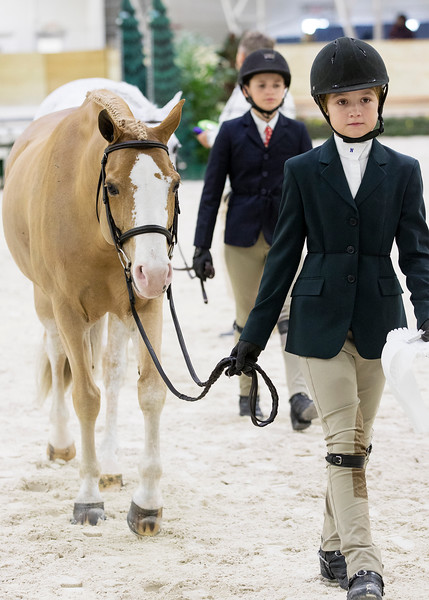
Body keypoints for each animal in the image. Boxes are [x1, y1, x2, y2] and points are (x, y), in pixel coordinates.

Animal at [3, 88, 184, 536]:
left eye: (174, 183)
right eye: (114, 188)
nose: (156, 272)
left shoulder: (146, 306)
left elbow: (150, 392)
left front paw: (147, 504)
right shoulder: (68, 310)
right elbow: (85, 396)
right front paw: (87, 498)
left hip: (117, 315)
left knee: (113, 373)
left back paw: (111, 465)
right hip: (46, 304)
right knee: (58, 358)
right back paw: (63, 444)